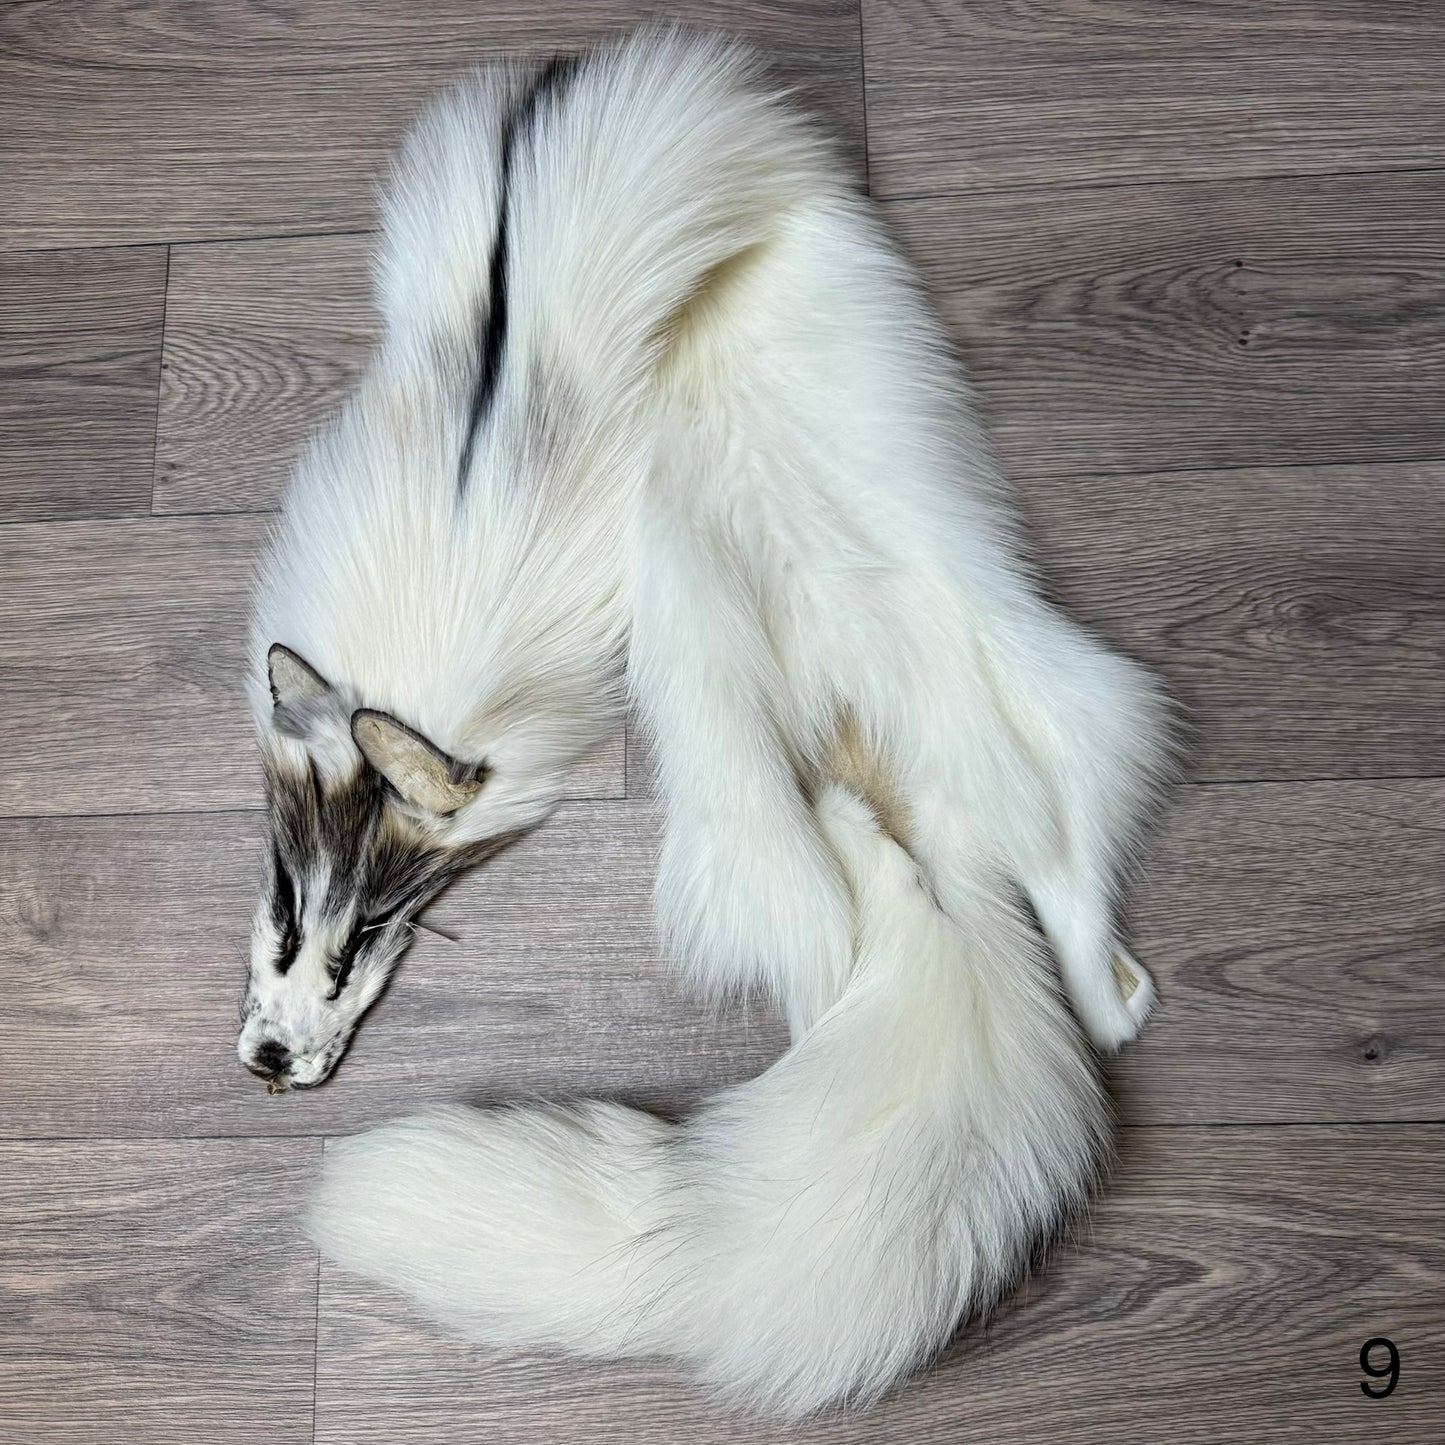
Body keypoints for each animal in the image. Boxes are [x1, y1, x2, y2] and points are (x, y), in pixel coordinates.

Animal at [238, 32, 1172, 1415]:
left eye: (365, 943)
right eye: (289, 913)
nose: (265, 1061)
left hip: (775, 786)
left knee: (850, 931)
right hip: (984, 717)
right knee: (1044, 860)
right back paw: (1109, 990)